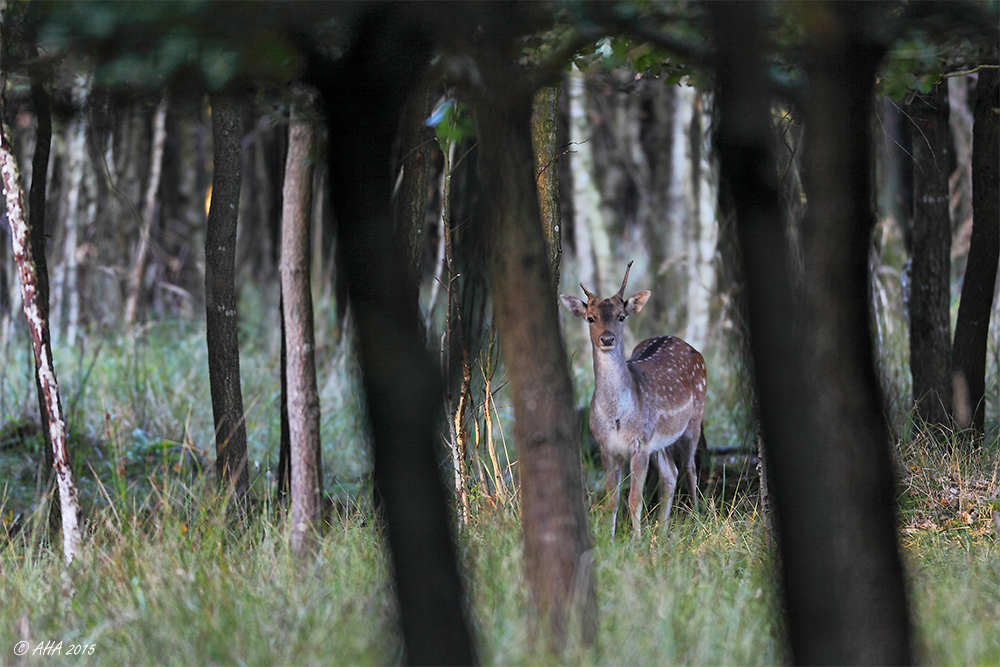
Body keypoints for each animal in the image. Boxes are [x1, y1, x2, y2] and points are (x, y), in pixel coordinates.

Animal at [560, 260, 708, 536]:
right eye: (590, 318)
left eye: (621, 316)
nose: (607, 338)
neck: (618, 417)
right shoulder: (606, 446)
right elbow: (612, 500)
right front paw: (610, 539)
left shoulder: (640, 442)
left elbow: (634, 498)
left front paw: (636, 541)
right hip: (659, 440)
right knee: (670, 474)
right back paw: (662, 532)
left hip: (695, 417)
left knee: (690, 468)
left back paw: (697, 520)